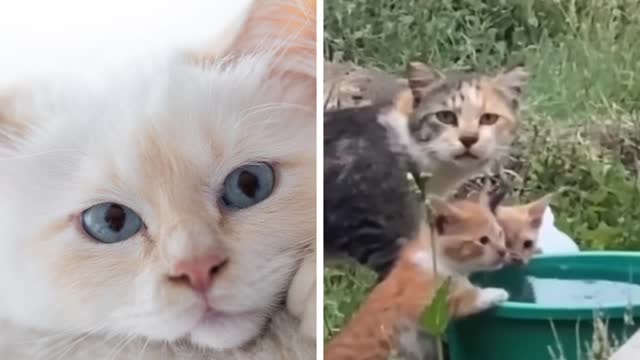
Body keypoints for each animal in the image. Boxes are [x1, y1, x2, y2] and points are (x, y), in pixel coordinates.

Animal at [324, 194, 510, 360]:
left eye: (500, 233)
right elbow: (460, 297)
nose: (503, 251)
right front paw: (494, 293)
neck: (439, 262)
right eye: (483, 240)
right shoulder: (419, 304)